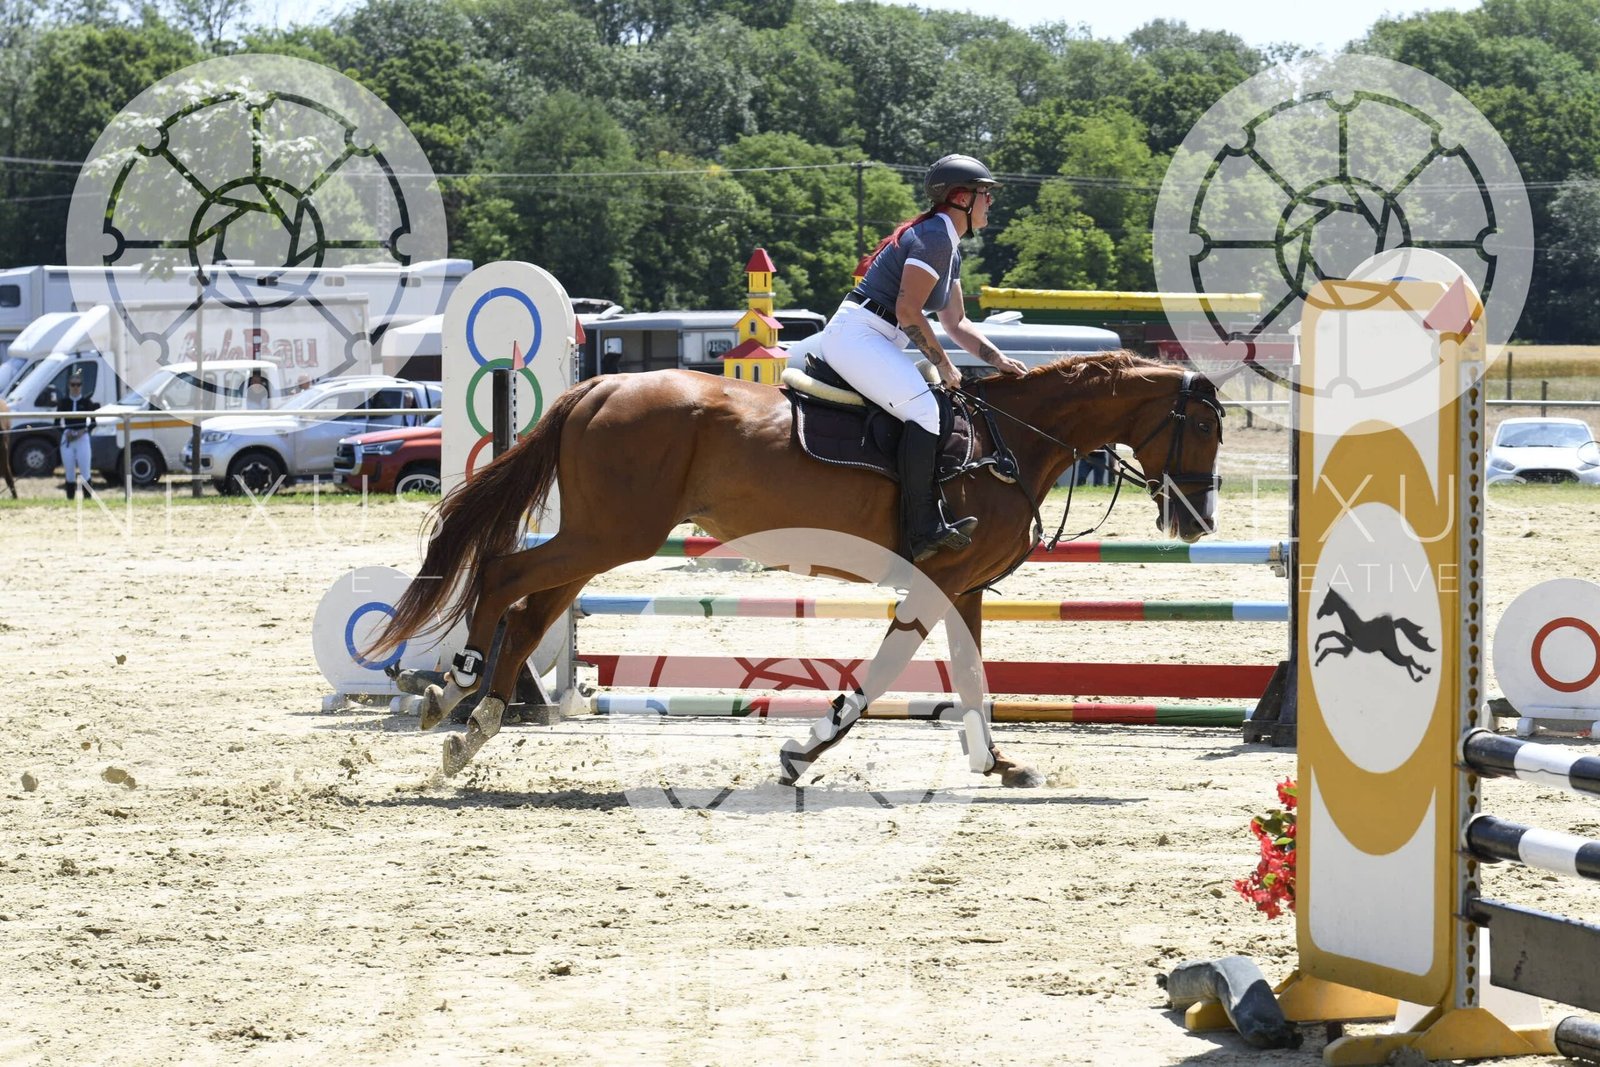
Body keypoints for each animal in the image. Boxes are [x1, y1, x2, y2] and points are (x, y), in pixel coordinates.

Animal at [369, 351, 1226, 785]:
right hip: (613, 534)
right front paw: (804, 749)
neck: (1013, 437)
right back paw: (457, 683)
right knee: (506, 577)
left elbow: (972, 672)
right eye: (1206, 430)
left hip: (601, 536)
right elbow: (887, 673)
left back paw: (473, 726)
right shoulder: (939, 580)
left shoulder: (965, 585)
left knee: (532, 605)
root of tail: (601, 383)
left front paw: (996, 760)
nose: (1198, 520)